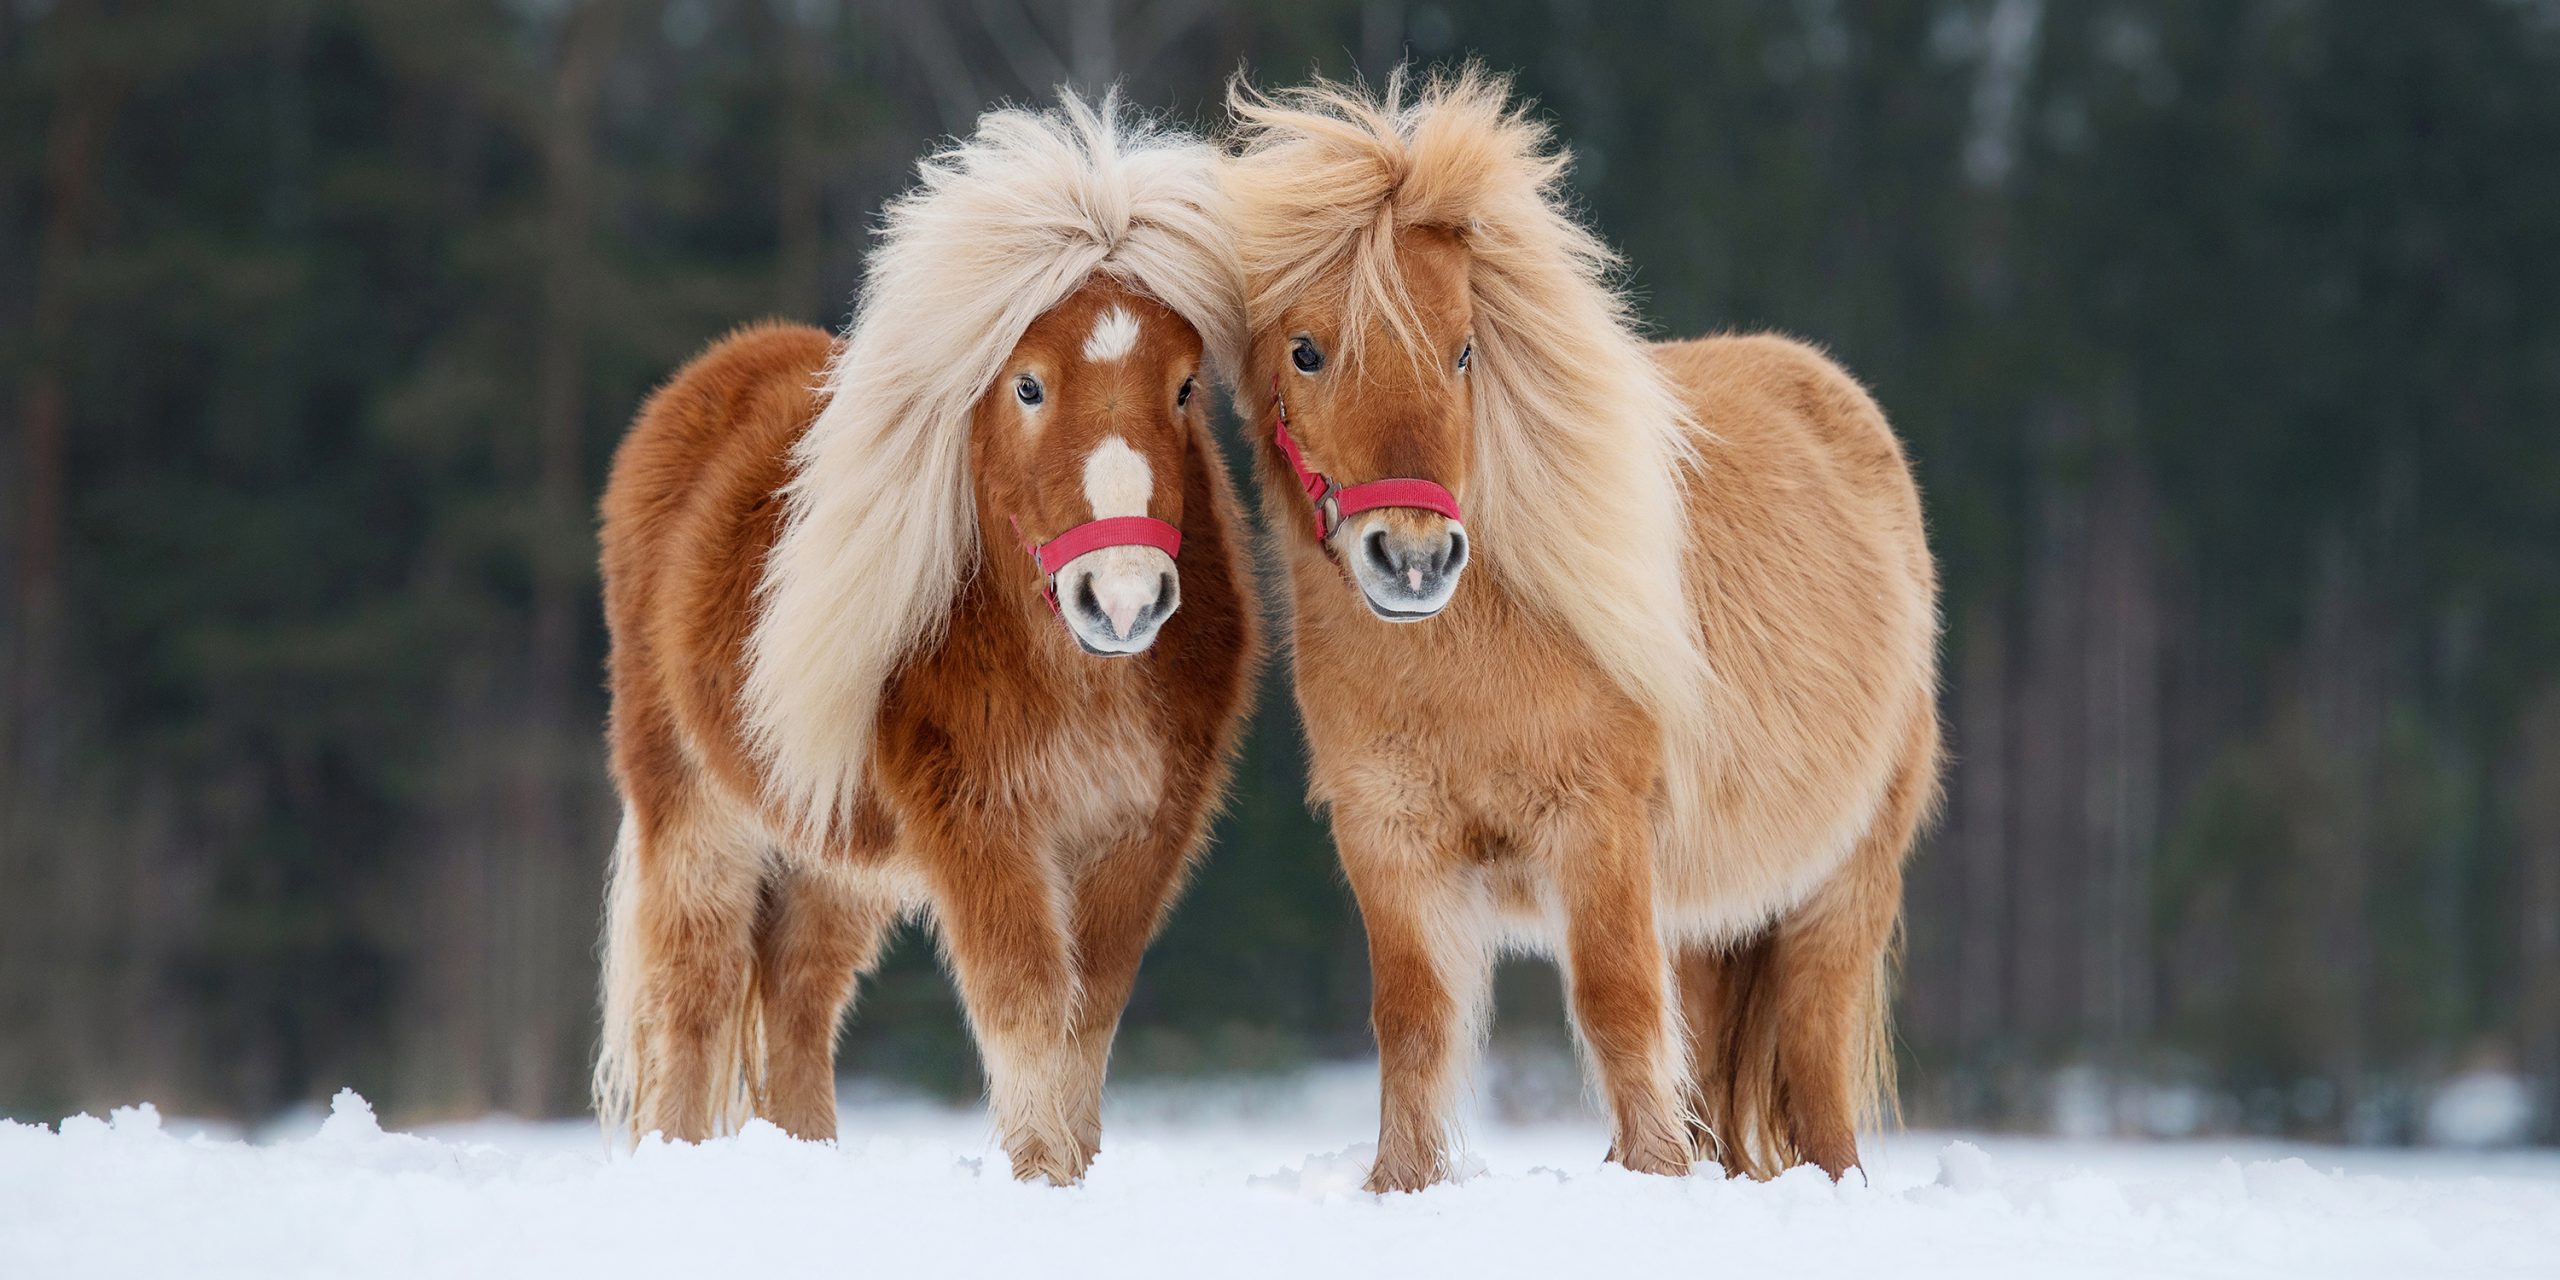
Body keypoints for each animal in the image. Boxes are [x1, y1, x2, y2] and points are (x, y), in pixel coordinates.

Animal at [586, 94, 1249, 1182]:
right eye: (1027, 386)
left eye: (1185, 388)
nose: (1122, 600)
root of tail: (699, 387)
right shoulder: (981, 825)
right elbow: (1027, 1010)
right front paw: (1042, 1180)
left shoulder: (1136, 835)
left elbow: (1087, 1024)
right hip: (695, 814)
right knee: (695, 997)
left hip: (829, 853)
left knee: (799, 997)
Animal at [1218, 70, 1935, 1187]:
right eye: (1306, 350)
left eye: (1465, 350)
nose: (1413, 559)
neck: (1471, 659)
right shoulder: (1392, 841)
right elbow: (1413, 1026)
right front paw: (1400, 1185)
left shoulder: (1594, 829)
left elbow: (1615, 1010)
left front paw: (1648, 1177)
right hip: (1702, 909)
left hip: (1838, 889)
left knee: (1816, 1074)